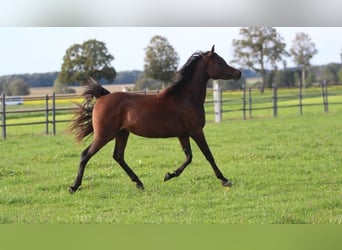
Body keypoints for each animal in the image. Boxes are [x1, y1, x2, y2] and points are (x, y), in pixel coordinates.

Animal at [69, 45, 240, 193]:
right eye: (218, 62)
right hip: (104, 135)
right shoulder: (196, 131)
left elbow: (189, 157)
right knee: (85, 155)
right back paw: (74, 187)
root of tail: (101, 97)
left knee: (118, 156)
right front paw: (225, 180)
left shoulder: (183, 134)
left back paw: (139, 183)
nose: (238, 73)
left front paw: (169, 175)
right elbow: (208, 155)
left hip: (122, 133)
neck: (186, 98)